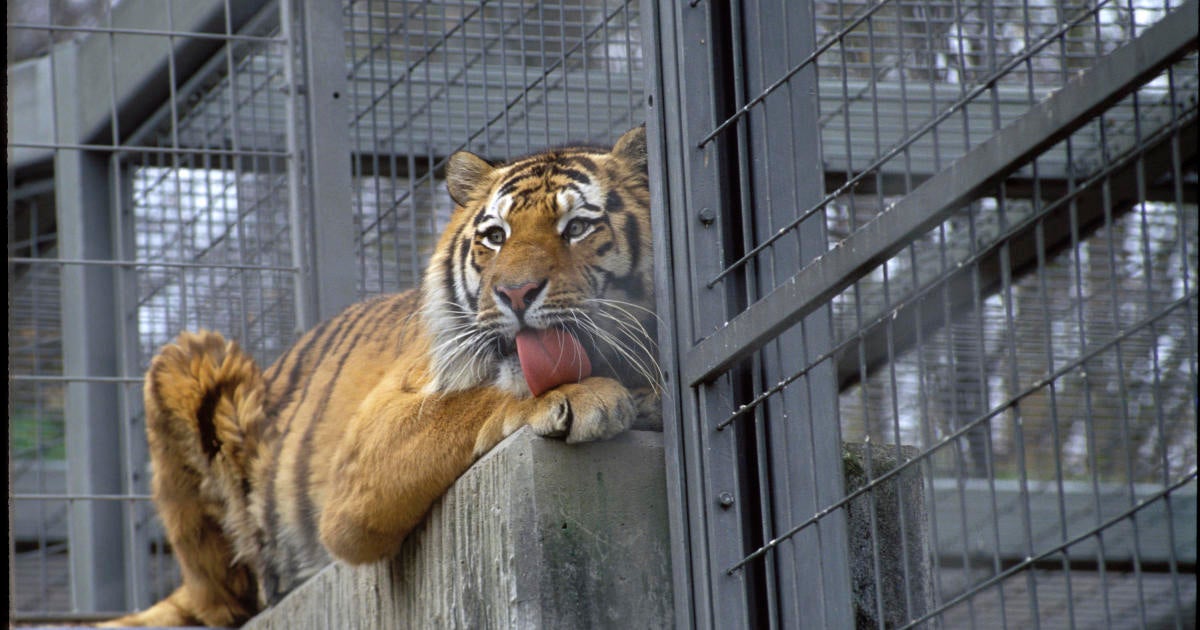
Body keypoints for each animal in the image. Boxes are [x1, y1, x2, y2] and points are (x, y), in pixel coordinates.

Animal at [104, 126, 662, 624]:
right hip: (187, 359)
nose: (516, 294)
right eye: (495, 237)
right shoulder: (365, 458)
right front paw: (587, 396)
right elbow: (471, 402)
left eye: (577, 228)